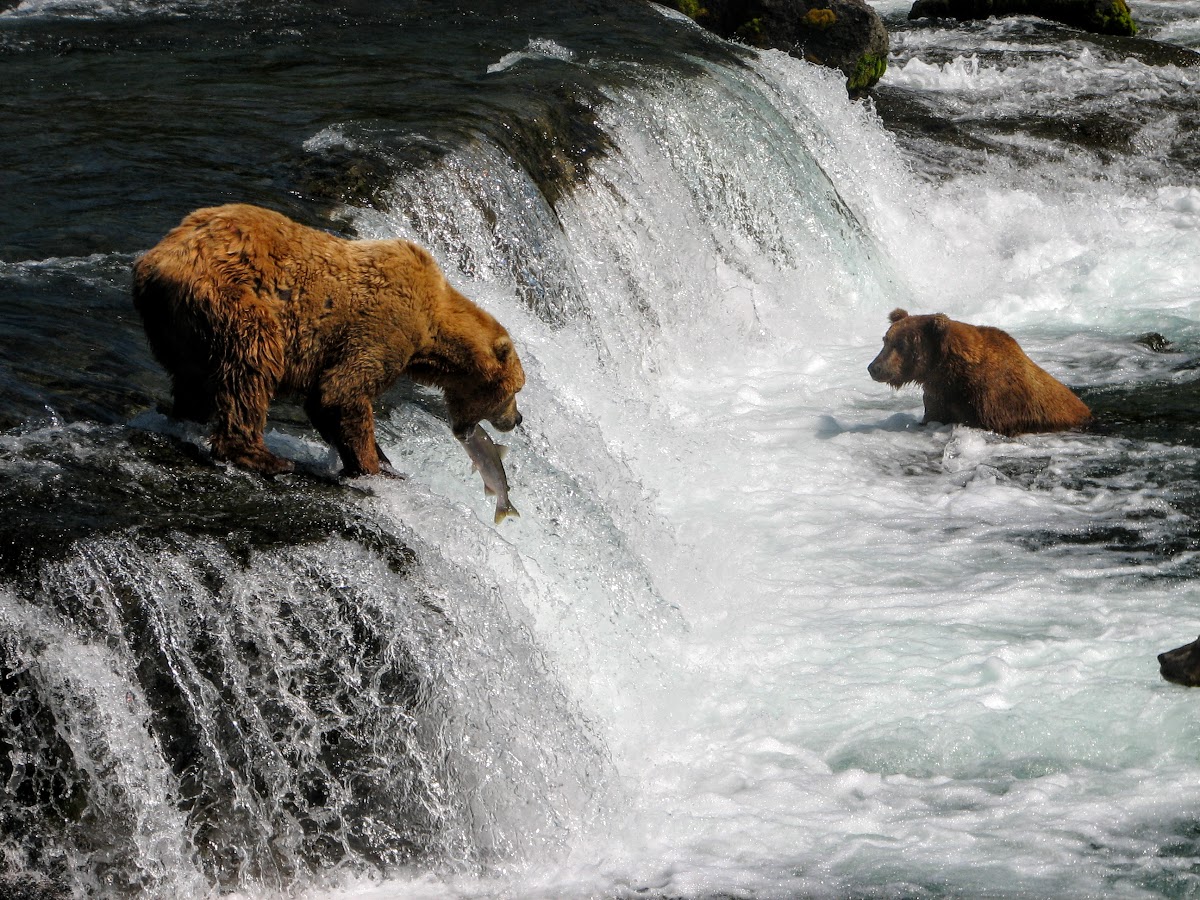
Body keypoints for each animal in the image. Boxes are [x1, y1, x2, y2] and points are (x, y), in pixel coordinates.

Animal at [132, 203, 525, 477]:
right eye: (516, 390)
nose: (518, 419)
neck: (433, 328)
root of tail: (156, 260)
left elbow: (323, 401)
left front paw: (380, 460)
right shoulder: (381, 327)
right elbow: (343, 392)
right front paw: (371, 465)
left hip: (179, 324)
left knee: (194, 378)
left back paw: (189, 419)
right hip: (232, 298)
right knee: (250, 366)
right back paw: (266, 457)